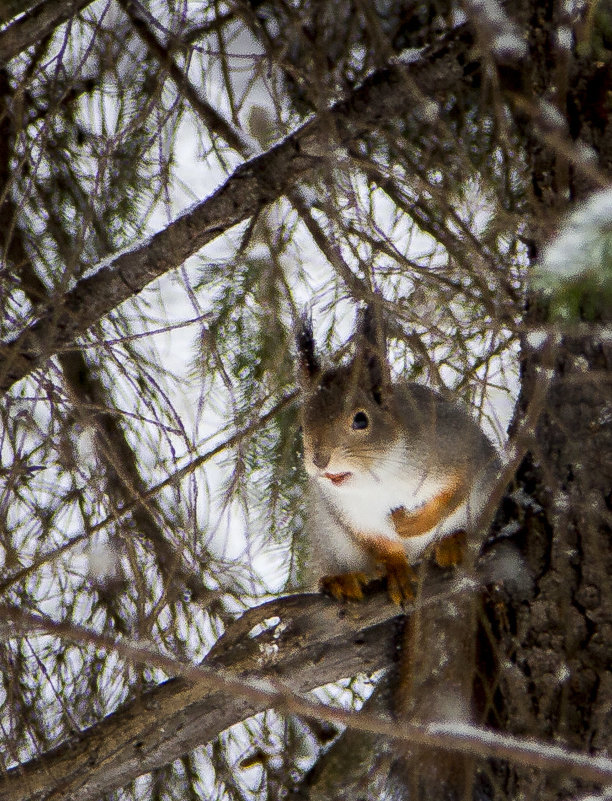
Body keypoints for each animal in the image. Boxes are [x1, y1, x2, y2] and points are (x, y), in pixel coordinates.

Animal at [296, 304, 502, 604]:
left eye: (361, 420)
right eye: (302, 425)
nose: (319, 461)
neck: (380, 476)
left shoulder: (456, 452)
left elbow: (450, 497)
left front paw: (408, 525)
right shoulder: (354, 514)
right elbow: (383, 545)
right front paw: (398, 573)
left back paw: (452, 541)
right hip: (328, 539)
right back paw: (340, 581)